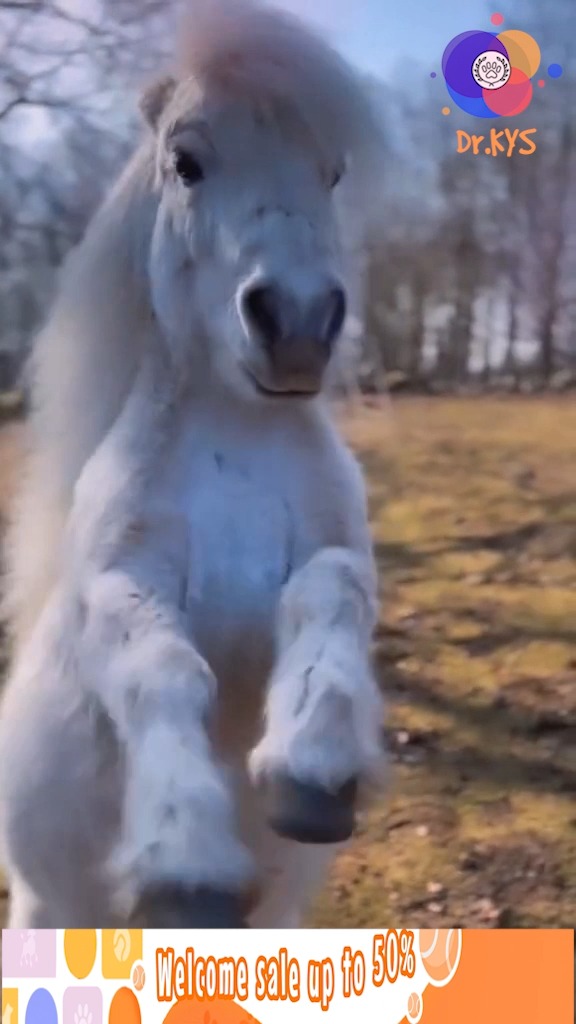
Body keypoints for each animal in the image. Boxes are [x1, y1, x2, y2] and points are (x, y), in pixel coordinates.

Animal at [0, 0, 386, 928]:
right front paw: (186, 866)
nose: (297, 323)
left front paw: (310, 771)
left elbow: (331, 594)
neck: (235, 439)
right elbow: (166, 667)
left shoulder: (337, 549)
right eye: (187, 162)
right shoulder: (117, 583)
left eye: (331, 171)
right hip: (43, 909)